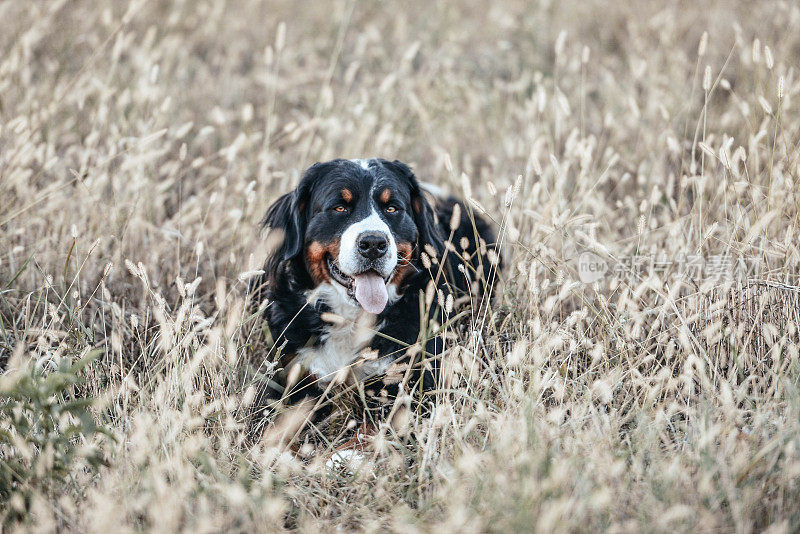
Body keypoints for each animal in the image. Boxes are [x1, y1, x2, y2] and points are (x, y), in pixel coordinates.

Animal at [250, 156, 500, 440]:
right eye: (339, 207)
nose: (373, 243)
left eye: (392, 208)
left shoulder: (409, 381)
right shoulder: (293, 372)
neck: (351, 320)